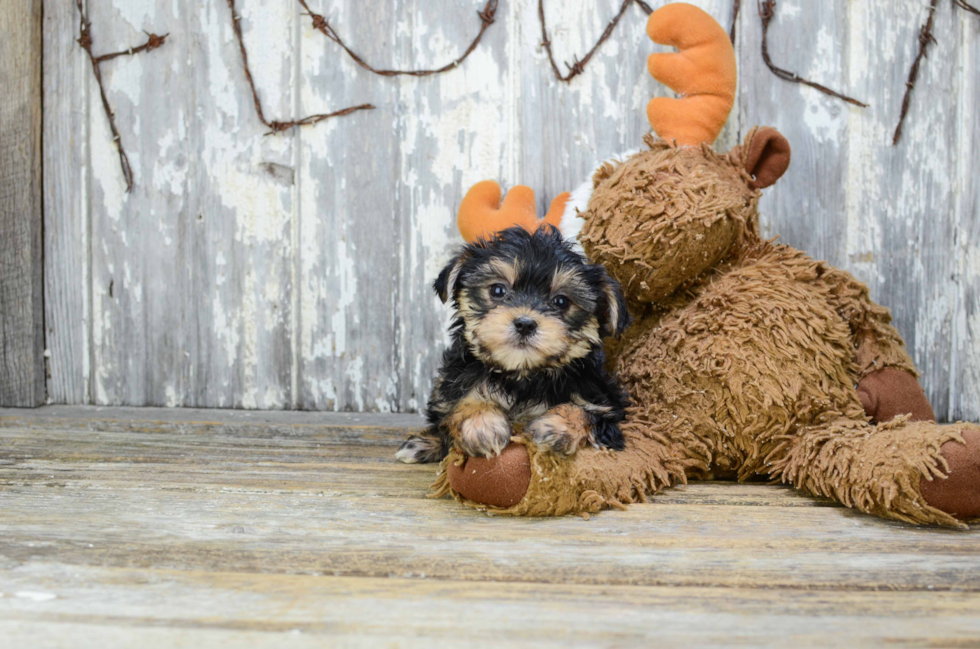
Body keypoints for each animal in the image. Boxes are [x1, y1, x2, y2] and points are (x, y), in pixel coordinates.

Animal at [396, 225, 632, 464]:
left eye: (561, 301)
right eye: (498, 290)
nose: (525, 324)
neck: (523, 375)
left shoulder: (606, 404)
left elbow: (588, 412)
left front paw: (556, 426)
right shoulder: (455, 382)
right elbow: (463, 398)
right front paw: (481, 424)